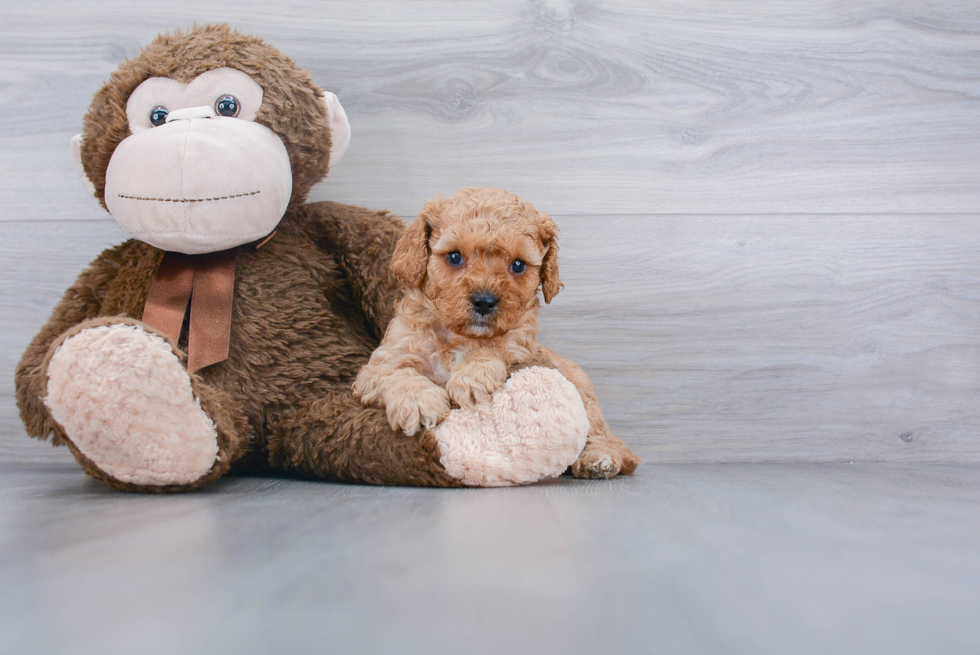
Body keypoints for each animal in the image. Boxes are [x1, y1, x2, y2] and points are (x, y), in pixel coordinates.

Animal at [356, 187, 640, 480]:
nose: (484, 301)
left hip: (581, 387)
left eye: (518, 265)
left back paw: (599, 458)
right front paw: (420, 403)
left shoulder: (523, 344)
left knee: (598, 430)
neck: (461, 336)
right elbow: (395, 373)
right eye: (455, 257)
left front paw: (470, 377)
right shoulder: (379, 364)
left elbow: (499, 345)